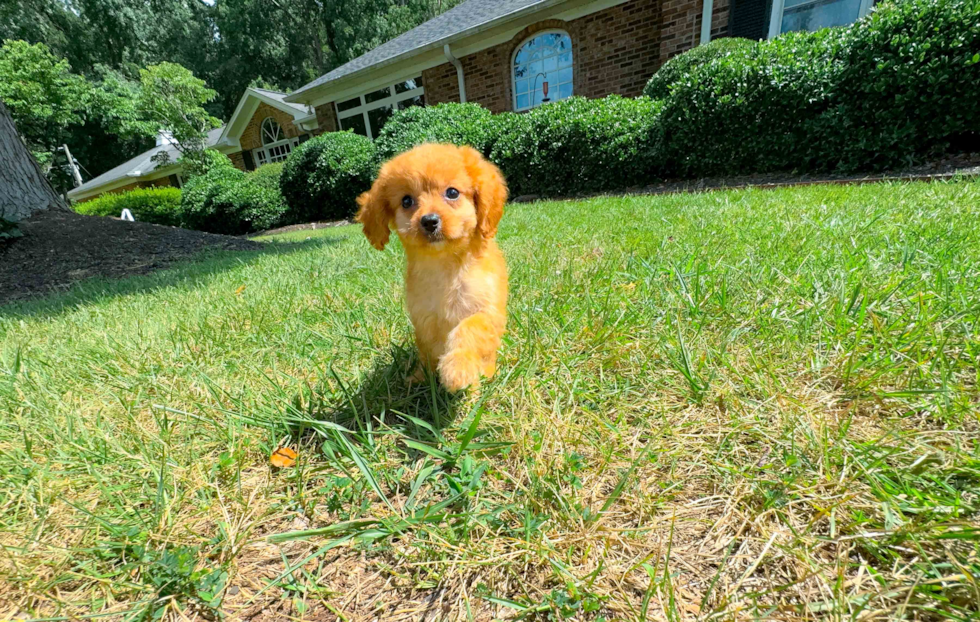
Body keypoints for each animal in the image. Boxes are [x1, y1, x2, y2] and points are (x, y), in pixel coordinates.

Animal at [360, 144, 512, 392]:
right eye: (406, 201)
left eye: (452, 193)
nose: (429, 221)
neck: (445, 265)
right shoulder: (425, 318)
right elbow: (429, 350)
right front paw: (424, 377)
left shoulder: (486, 311)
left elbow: (468, 329)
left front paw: (457, 369)